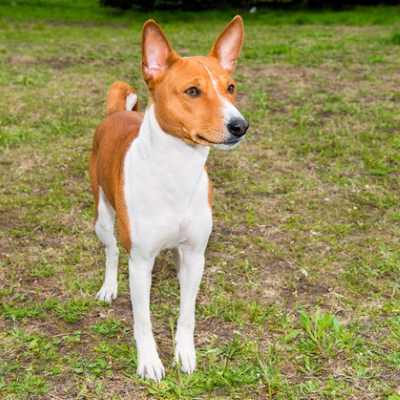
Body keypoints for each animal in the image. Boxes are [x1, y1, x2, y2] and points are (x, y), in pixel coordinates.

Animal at [89, 16, 248, 382]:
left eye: (230, 88)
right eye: (192, 91)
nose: (240, 125)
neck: (176, 172)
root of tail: (116, 113)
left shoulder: (195, 256)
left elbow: (187, 313)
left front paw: (185, 353)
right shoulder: (139, 262)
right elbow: (143, 319)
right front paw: (149, 361)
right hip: (103, 217)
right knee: (111, 251)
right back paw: (108, 286)